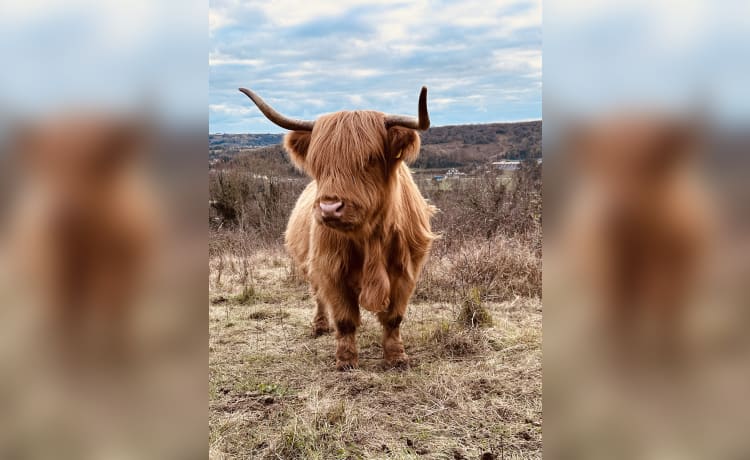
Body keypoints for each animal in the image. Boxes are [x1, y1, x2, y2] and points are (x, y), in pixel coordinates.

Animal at [241, 86, 438, 370]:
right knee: (319, 298)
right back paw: (320, 326)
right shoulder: (330, 269)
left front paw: (396, 356)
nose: (329, 208)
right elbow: (344, 319)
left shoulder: (405, 271)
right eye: (317, 162)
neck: (371, 237)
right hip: (311, 269)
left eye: (370, 159)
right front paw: (346, 360)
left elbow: (393, 318)